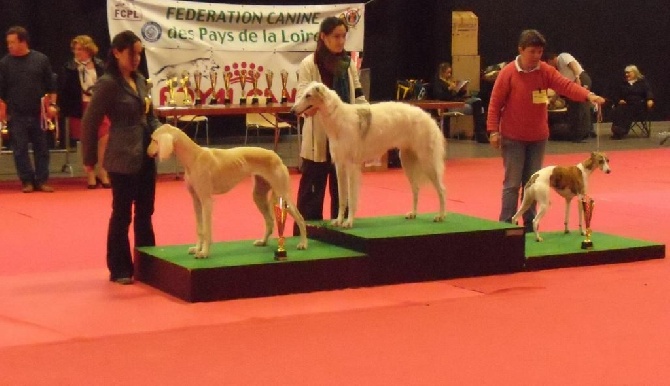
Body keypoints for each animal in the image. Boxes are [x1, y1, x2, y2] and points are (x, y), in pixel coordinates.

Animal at [148, 123, 308, 258]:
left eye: (154, 140)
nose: (147, 153)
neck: (194, 157)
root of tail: (275, 155)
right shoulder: (196, 200)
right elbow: (199, 229)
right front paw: (197, 248)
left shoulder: (206, 201)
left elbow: (206, 229)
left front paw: (204, 252)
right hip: (258, 195)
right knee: (269, 221)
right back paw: (263, 241)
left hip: (283, 194)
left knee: (300, 218)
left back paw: (303, 243)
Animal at [292, 80, 446, 228]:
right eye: (303, 93)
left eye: (308, 95)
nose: (292, 110)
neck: (339, 119)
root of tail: (429, 117)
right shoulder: (339, 166)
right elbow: (342, 198)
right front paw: (339, 220)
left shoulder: (352, 166)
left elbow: (351, 199)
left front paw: (348, 222)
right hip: (407, 161)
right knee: (416, 188)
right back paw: (413, 213)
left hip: (427, 162)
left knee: (441, 190)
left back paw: (441, 216)